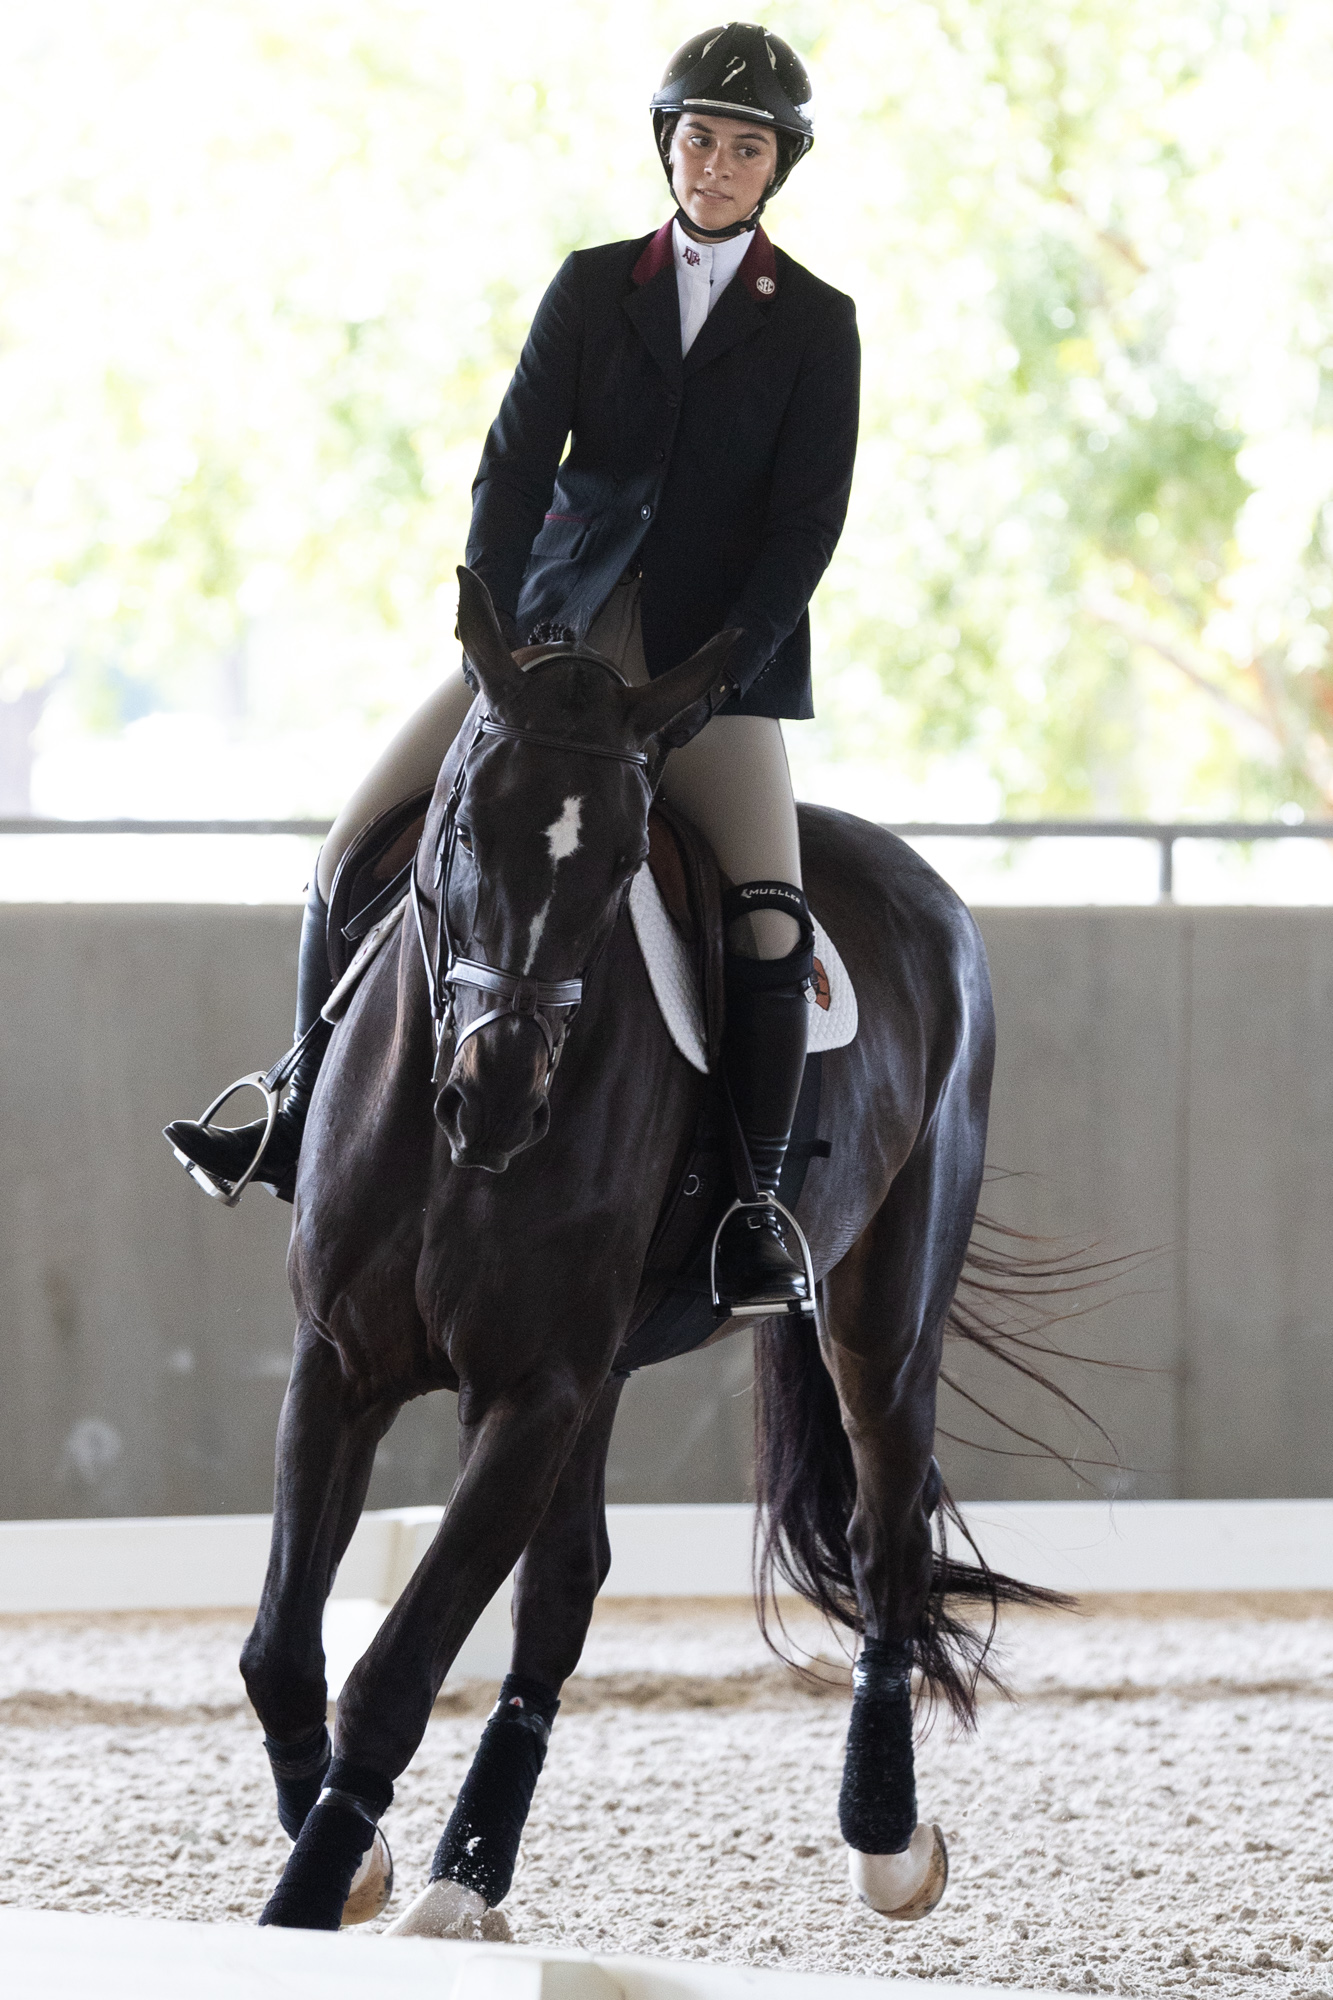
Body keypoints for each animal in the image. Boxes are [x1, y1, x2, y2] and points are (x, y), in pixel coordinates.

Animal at [236, 568, 1048, 1936]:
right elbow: (285, 1650)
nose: (498, 1095)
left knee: (883, 1536)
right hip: (609, 1369)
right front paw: (353, 1869)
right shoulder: (341, 1362)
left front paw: (303, 1906)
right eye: (464, 830)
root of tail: (920, 886)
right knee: (567, 1586)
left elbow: (397, 1671)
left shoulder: (534, 1388)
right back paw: (465, 1876)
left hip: (879, 1317)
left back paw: (886, 1840)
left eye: (624, 861)